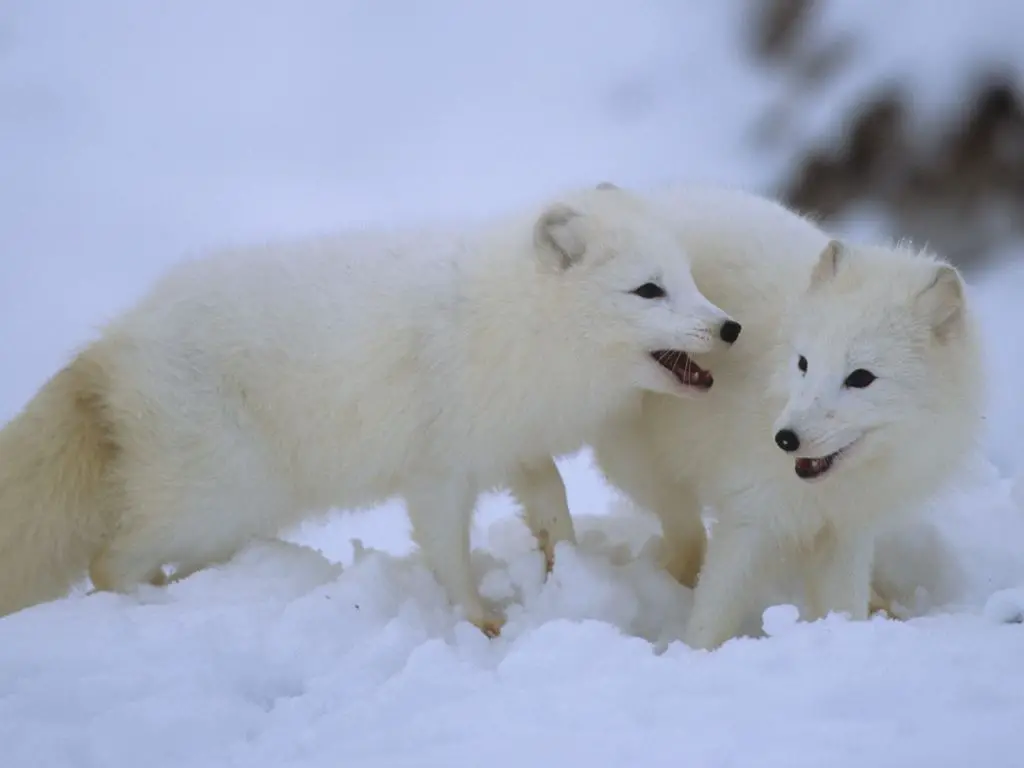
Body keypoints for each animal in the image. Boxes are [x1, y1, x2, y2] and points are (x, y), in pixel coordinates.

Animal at [0, 183, 741, 634]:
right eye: (649, 291)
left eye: (691, 280)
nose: (732, 327)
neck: (511, 321)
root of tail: (110, 347)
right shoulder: (437, 472)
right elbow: (448, 553)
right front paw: (481, 622)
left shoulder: (509, 443)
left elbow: (552, 502)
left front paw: (561, 569)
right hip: (221, 496)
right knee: (107, 563)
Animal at [512, 186, 983, 651]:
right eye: (804, 363)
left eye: (861, 378)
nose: (786, 438)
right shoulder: (748, 514)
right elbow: (716, 608)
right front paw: (696, 655)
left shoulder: (847, 531)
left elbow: (844, 604)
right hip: (647, 465)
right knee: (685, 535)